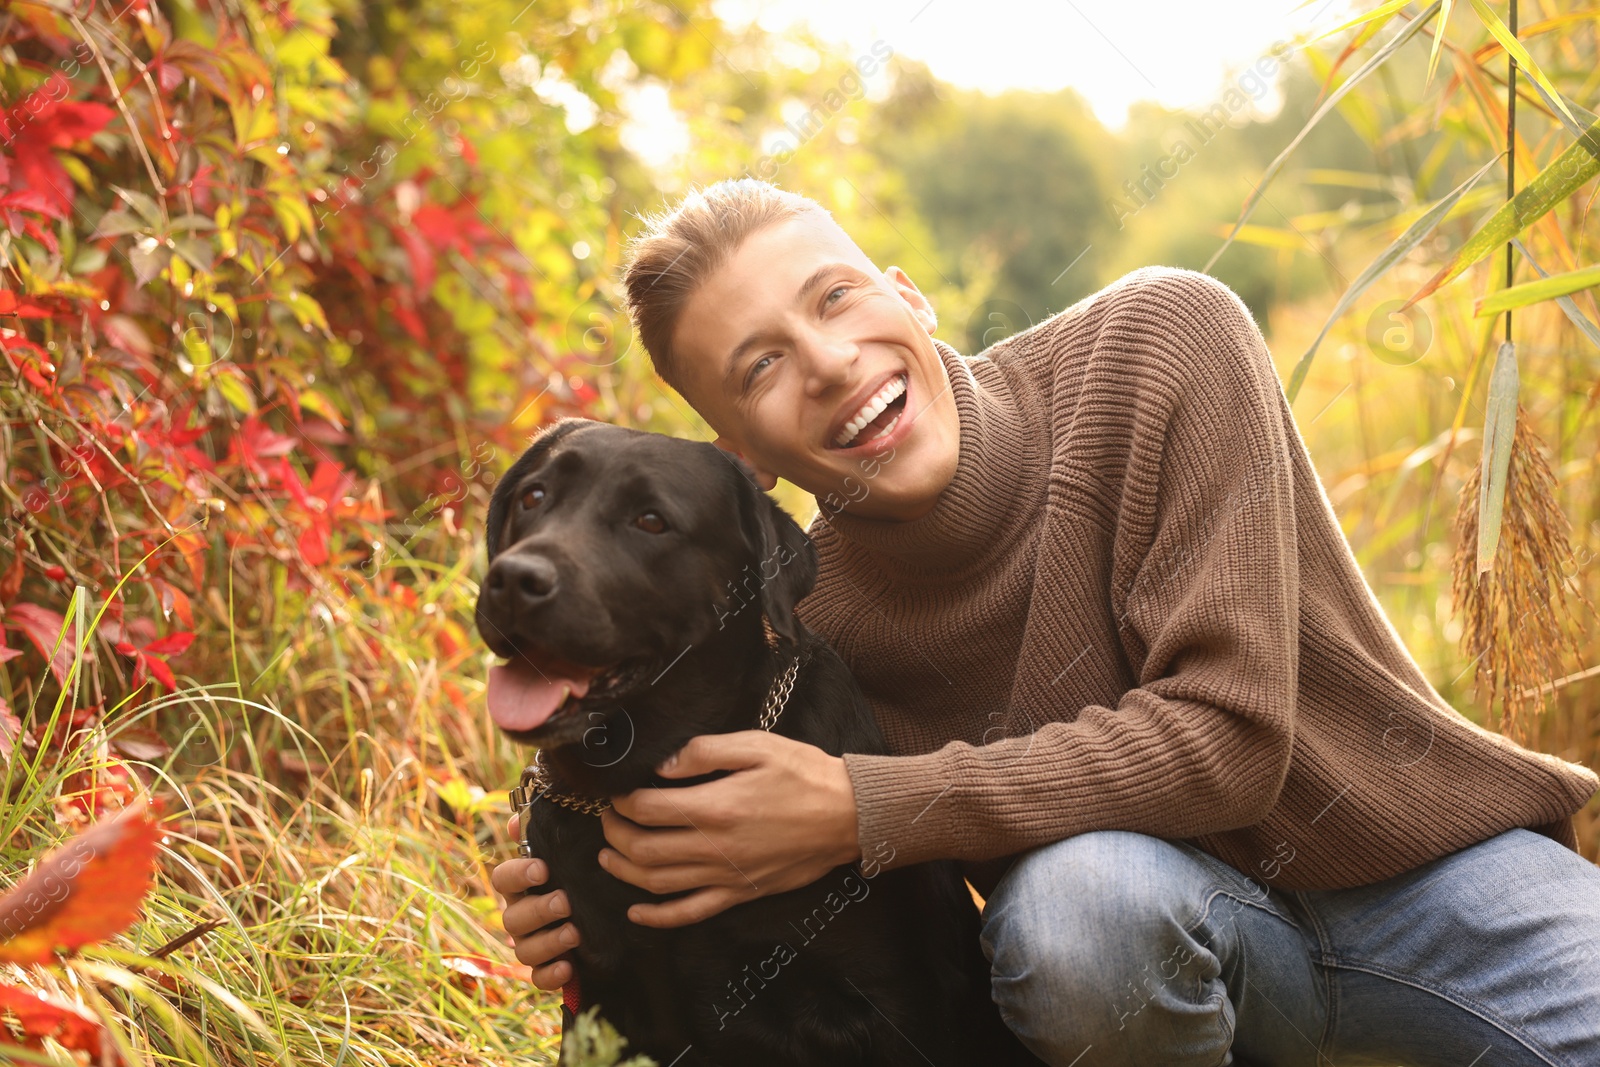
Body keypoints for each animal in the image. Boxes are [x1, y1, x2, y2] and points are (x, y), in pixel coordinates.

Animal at [473, 419, 1036, 1067]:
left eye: (651, 521)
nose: (514, 579)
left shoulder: (895, 1008)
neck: (637, 779)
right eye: (533, 497)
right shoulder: (592, 997)